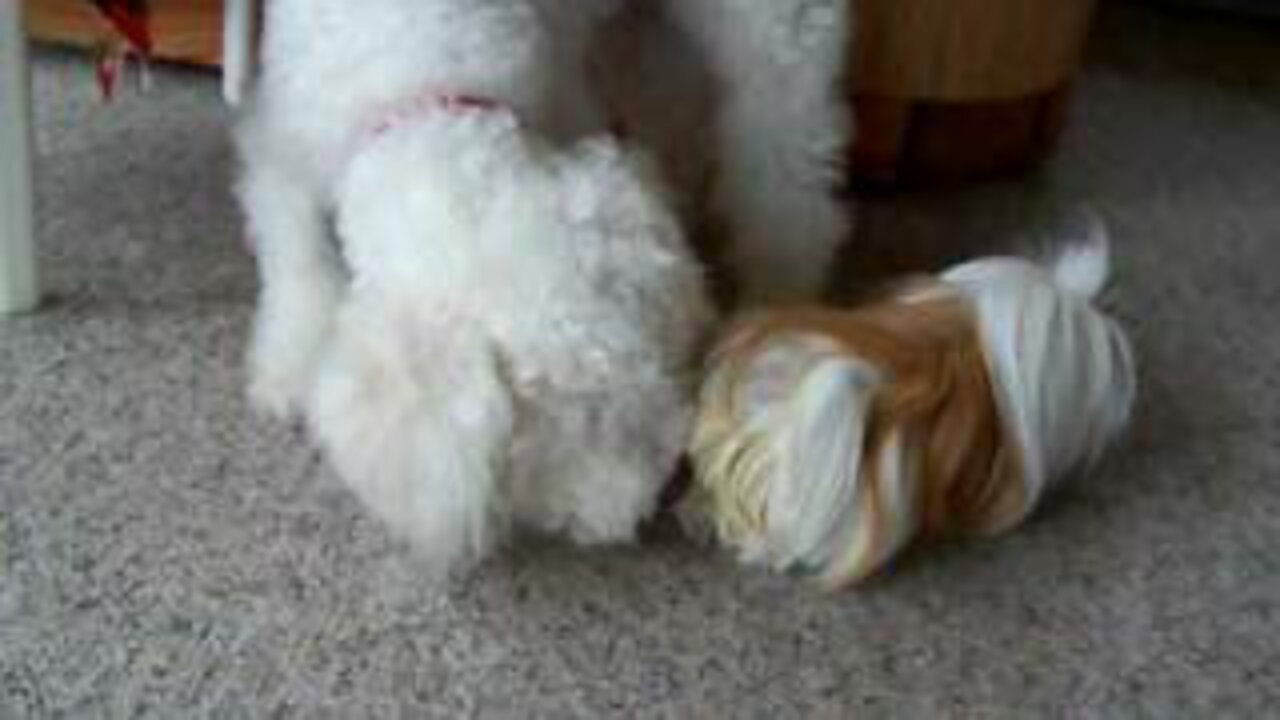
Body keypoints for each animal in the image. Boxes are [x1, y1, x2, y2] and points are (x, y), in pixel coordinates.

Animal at [235, 0, 855, 571]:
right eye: (585, 423)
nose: (648, 506)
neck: (416, 67)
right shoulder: (280, 142)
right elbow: (296, 253)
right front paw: (288, 369)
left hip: (774, 37)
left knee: (791, 173)